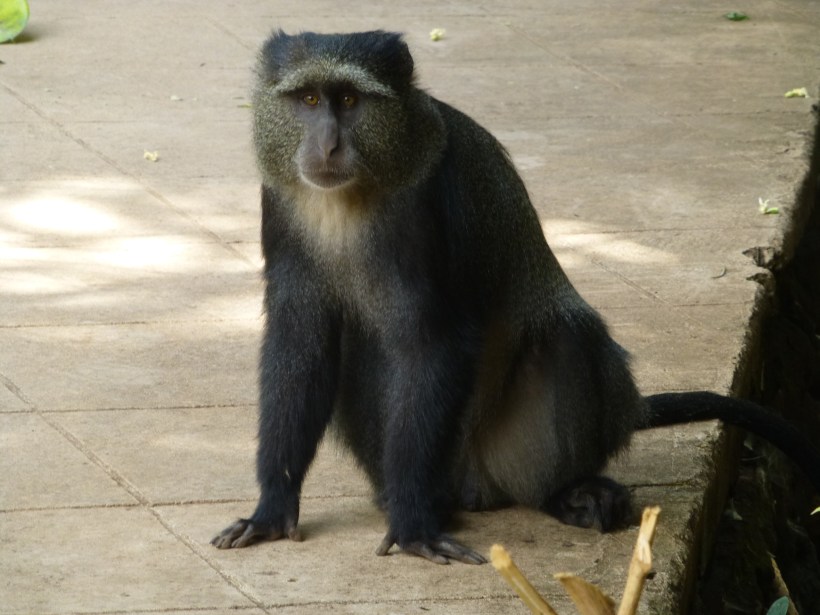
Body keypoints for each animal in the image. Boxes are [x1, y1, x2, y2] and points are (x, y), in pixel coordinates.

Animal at [211, 30, 820, 565]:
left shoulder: (435, 199)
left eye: (350, 100)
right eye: (310, 99)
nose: (329, 143)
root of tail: (471, 485)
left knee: (567, 337)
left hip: (508, 456)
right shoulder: (280, 201)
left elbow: (432, 341)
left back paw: (565, 493)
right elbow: (302, 341)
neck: (355, 195)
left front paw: (411, 523)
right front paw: (272, 509)